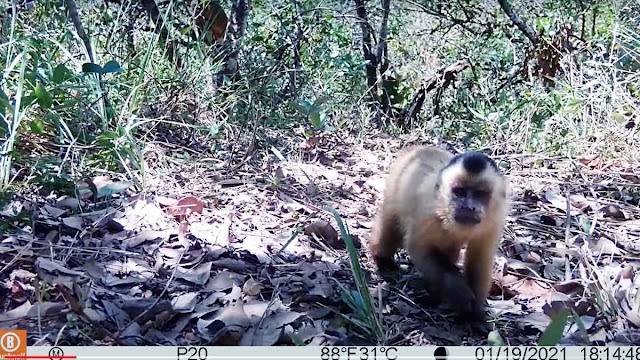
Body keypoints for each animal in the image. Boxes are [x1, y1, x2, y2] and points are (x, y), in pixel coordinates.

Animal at [370, 146, 510, 326]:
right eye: (460, 192)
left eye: (480, 194)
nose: (468, 207)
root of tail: (418, 148)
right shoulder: (428, 214)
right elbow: (418, 249)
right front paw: (459, 290)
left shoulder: (494, 221)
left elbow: (480, 260)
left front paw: (476, 314)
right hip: (395, 182)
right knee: (391, 224)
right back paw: (383, 260)